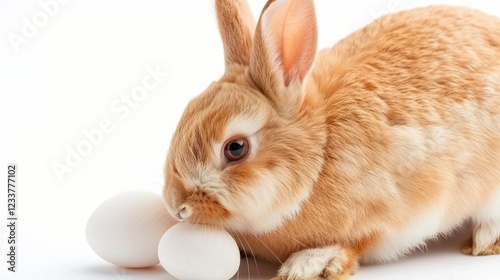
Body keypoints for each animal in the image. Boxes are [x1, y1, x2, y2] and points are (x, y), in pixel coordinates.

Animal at [162, 1, 498, 278]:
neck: (321, 151)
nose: (176, 207)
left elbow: (359, 240)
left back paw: (484, 241)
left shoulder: (390, 212)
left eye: (235, 148)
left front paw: (310, 264)